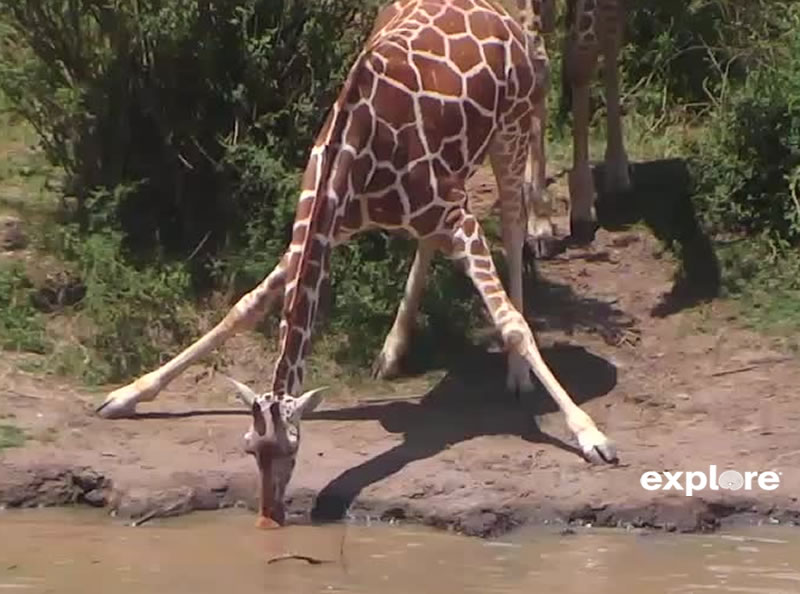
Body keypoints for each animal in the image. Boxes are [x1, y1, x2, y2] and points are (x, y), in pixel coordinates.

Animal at [95, 0, 620, 528]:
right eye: (249, 448)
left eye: (292, 449)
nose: (269, 518)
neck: (351, 158)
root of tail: (503, 14)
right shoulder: (338, 225)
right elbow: (243, 308)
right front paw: (127, 395)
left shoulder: (457, 218)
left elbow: (511, 322)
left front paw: (591, 436)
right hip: (460, 166)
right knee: (436, 239)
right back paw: (392, 352)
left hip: (508, 134)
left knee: (513, 226)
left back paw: (515, 371)